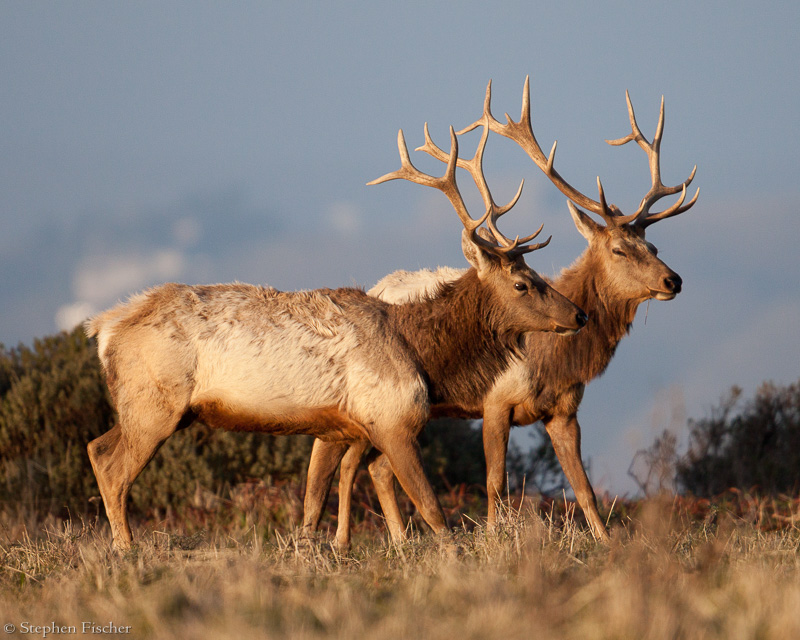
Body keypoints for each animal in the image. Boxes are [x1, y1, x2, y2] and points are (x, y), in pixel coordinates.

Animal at [86, 122, 588, 548]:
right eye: (522, 283)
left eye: (536, 273)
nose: (580, 314)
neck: (424, 357)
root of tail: (103, 328)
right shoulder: (392, 419)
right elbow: (434, 512)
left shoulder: (333, 427)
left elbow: (312, 505)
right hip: (154, 404)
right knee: (112, 466)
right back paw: (126, 551)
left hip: (147, 406)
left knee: (96, 446)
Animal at [304, 75, 696, 544]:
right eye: (619, 249)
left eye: (653, 247)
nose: (673, 281)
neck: (551, 363)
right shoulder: (494, 403)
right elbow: (494, 483)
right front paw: (494, 540)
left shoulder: (564, 411)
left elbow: (583, 487)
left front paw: (606, 542)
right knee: (344, 461)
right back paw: (342, 541)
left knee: (375, 467)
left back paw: (398, 540)